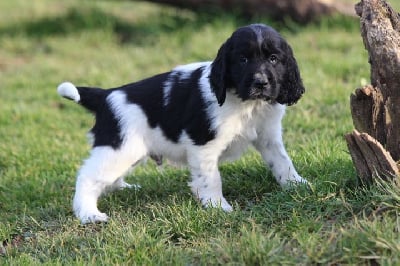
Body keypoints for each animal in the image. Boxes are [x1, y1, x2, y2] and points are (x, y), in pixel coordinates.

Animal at [57, 22, 306, 223]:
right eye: (243, 60)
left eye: (273, 59)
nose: (260, 82)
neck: (248, 104)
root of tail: (107, 95)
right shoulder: (203, 144)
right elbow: (211, 178)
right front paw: (218, 206)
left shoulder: (268, 137)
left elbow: (283, 162)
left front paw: (298, 185)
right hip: (119, 148)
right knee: (87, 177)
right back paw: (89, 214)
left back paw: (124, 189)